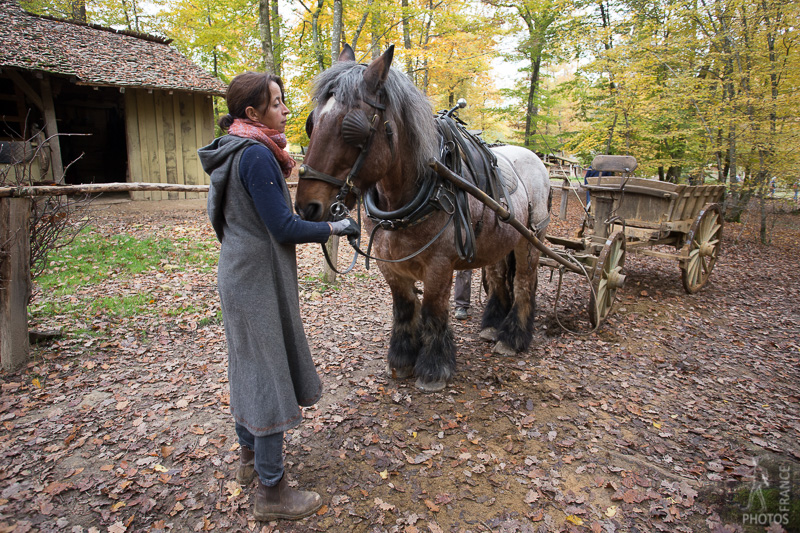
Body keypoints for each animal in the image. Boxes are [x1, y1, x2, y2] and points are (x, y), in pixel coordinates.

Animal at [294, 44, 552, 390]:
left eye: (352, 128)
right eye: (311, 123)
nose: (306, 207)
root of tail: (534, 158)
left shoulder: (439, 266)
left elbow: (431, 310)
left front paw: (433, 368)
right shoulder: (389, 265)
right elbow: (404, 308)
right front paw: (402, 359)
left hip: (530, 240)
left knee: (525, 281)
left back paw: (513, 338)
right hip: (501, 240)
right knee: (499, 277)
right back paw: (492, 325)